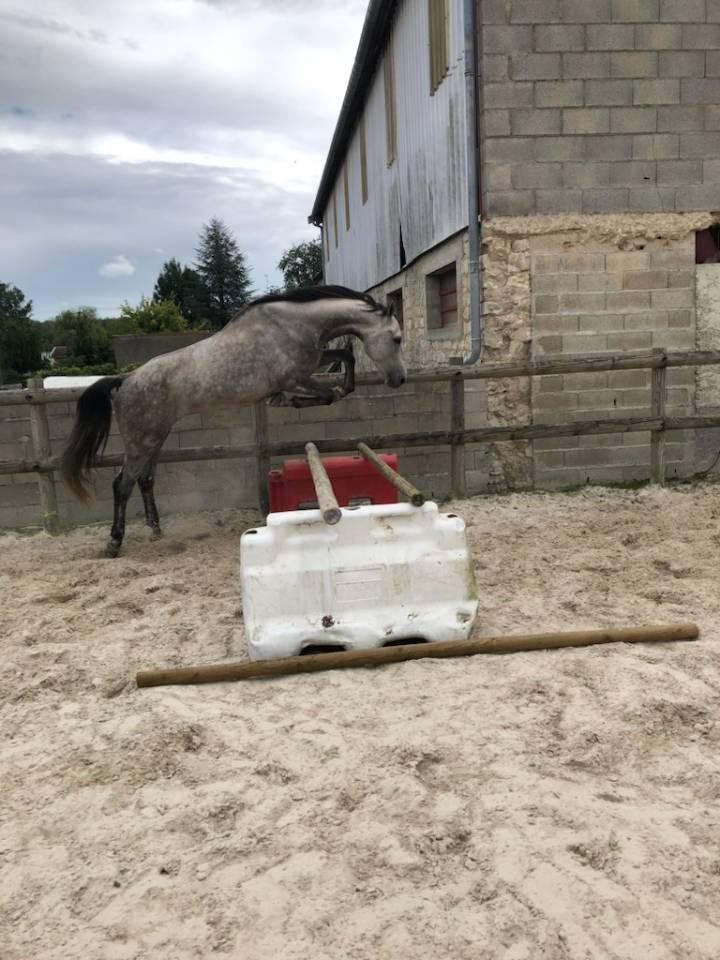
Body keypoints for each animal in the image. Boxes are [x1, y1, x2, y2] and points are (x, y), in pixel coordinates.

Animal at [60, 285, 406, 557]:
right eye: (397, 338)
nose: (399, 379)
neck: (294, 324)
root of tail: (126, 381)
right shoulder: (295, 376)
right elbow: (328, 394)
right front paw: (288, 400)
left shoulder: (313, 361)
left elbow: (345, 361)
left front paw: (335, 388)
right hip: (141, 440)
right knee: (122, 485)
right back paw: (114, 543)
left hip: (156, 437)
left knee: (145, 481)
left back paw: (156, 530)